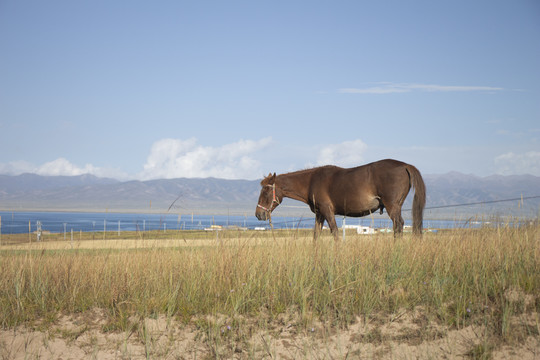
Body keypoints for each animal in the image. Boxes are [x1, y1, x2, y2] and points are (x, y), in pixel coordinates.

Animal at [255, 159, 428, 240]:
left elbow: (336, 233)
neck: (311, 181)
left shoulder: (327, 211)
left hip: (393, 207)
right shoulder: (319, 214)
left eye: (265, 190)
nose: (258, 214)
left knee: (398, 225)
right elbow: (316, 236)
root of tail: (405, 165)